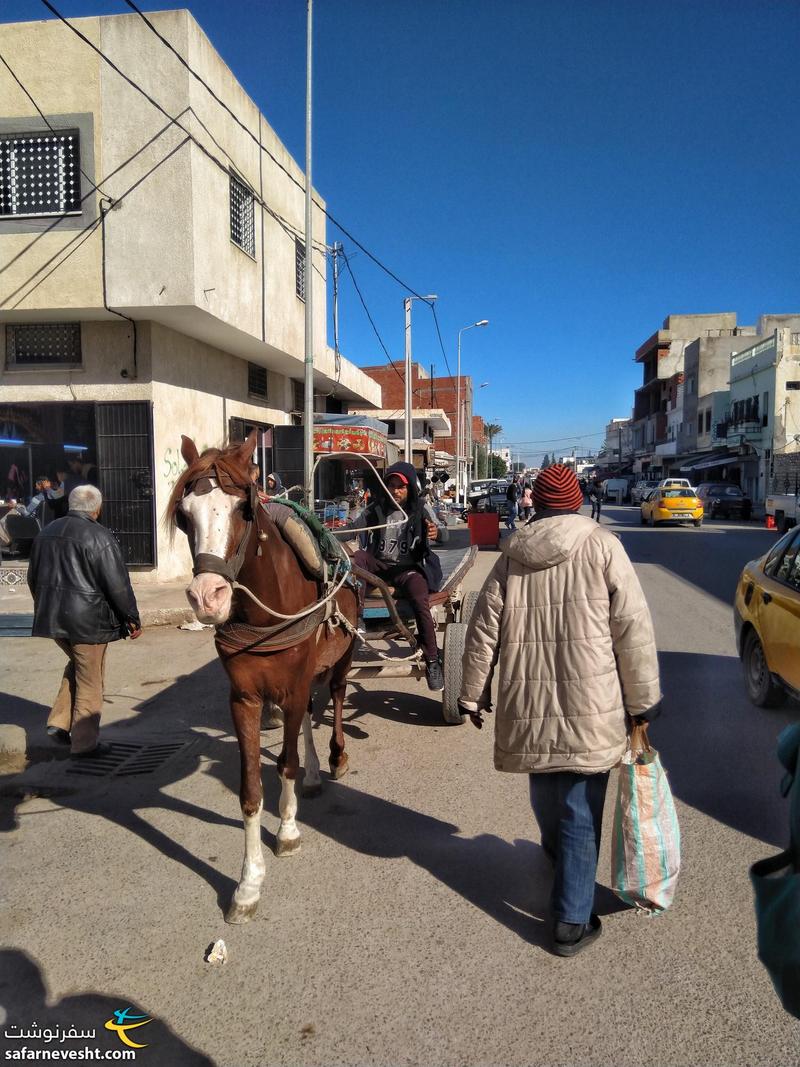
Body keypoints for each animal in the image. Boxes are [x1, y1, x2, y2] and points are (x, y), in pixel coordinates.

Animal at [167, 428, 358, 921]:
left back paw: (335, 757)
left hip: (342, 657)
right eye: (184, 515)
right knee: (308, 713)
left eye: (243, 509)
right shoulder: (245, 699)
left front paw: (287, 830)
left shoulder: (291, 686)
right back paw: (315, 774)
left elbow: (285, 764)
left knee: (334, 697)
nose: (207, 597)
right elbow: (251, 789)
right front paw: (248, 883)